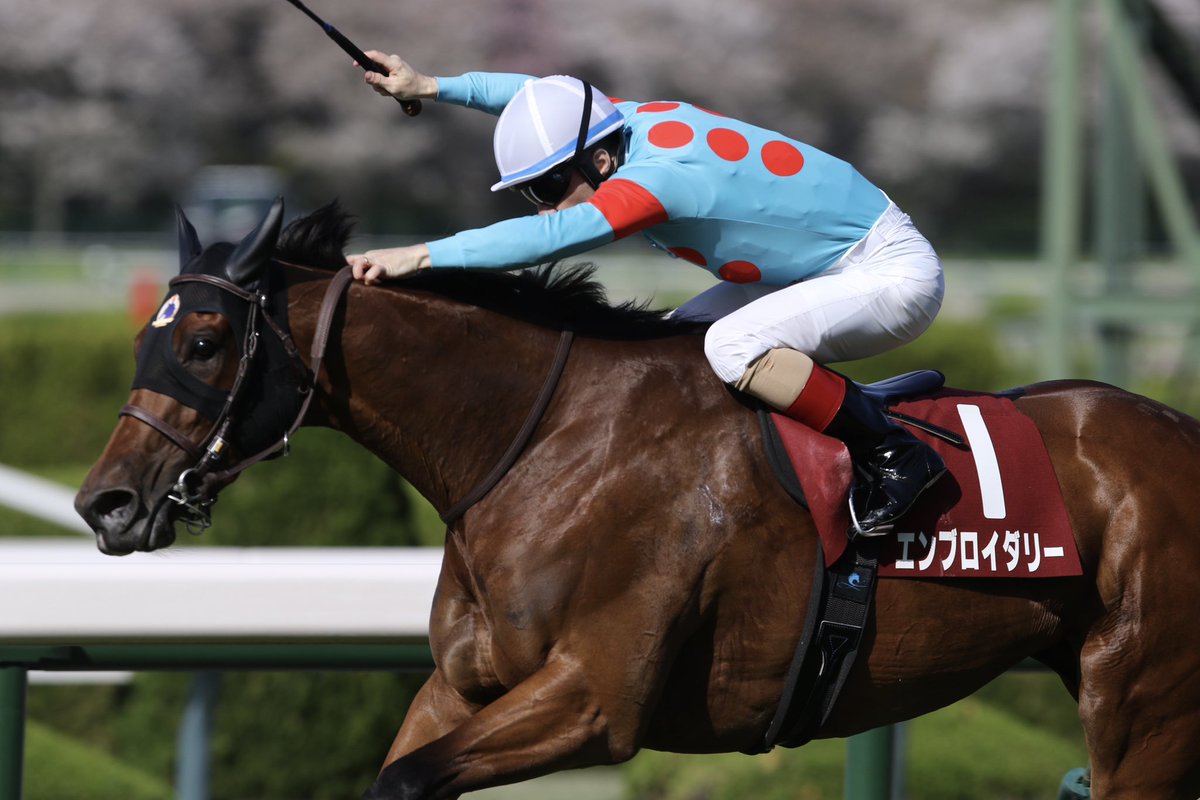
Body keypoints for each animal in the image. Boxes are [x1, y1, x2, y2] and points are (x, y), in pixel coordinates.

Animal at [75, 199, 1200, 799]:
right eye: (142, 338)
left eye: (204, 342)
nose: (106, 504)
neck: (541, 440)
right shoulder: (463, 687)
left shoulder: (594, 696)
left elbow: (412, 774)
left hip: (1141, 698)